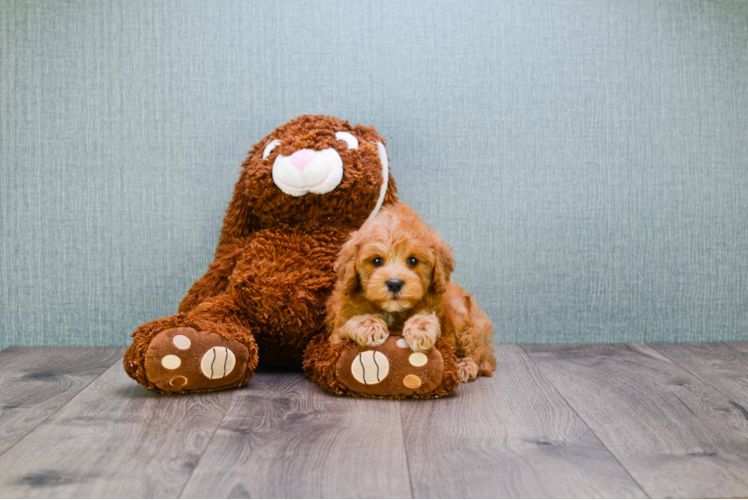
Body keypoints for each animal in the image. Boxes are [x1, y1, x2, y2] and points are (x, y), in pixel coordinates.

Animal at [328, 201, 496, 380]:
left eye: (413, 261)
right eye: (377, 261)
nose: (394, 283)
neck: (393, 312)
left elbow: (428, 318)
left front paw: (420, 329)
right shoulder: (335, 334)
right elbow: (347, 326)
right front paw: (370, 326)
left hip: (469, 320)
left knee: (479, 353)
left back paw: (465, 366)